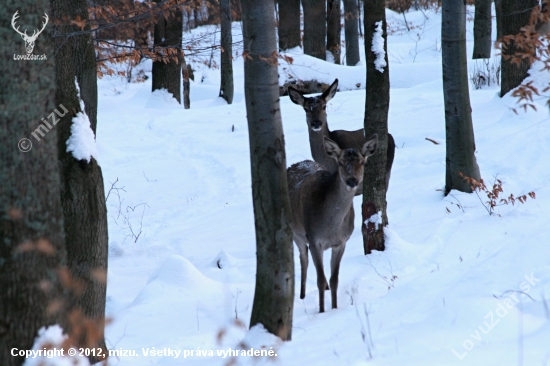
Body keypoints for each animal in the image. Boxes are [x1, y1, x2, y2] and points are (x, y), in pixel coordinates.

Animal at [288, 134, 380, 312]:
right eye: (340, 163)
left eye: (362, 162)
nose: (352, 181)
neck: (331, 227)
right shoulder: (314, 239)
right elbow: (320, 279)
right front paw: (322, 311)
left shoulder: (341, 242)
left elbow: (334, 279)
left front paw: (335, 307)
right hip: (296, 232)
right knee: (303, 258)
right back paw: (302, 295)